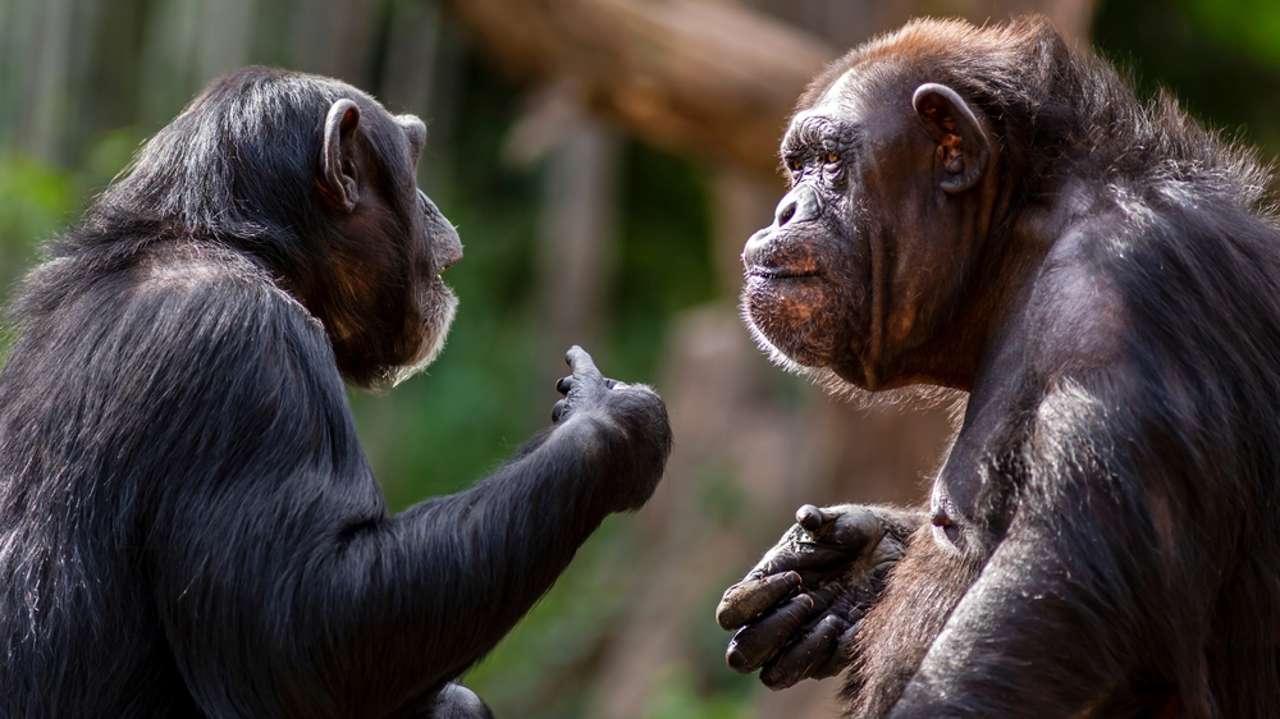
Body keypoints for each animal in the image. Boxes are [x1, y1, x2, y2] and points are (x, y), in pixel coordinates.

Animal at [0, 67, 675, 716]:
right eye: (413, 157)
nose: (431, 205)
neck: (240, 247)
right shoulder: (246, 356)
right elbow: (305, 631)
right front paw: (608, 419)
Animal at [716, 16, 1280, 716]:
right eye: (797, 166)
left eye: (829, 163)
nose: (785, 210)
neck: (1017, 238)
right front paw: (849, 570)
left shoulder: (1121, 300)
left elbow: (1057, 600)